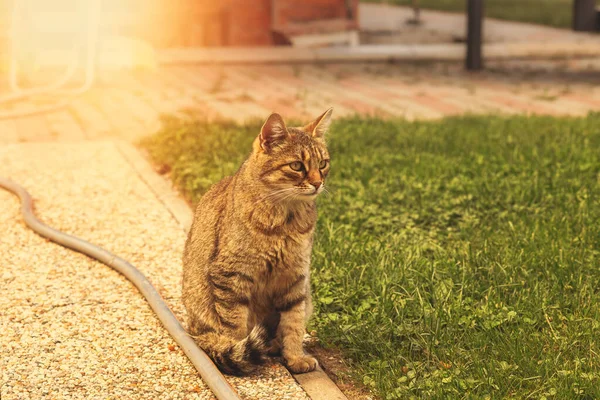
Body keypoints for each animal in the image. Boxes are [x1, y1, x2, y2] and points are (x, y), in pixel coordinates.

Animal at [183, 108, 332, 374]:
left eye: (323, 164)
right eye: (297, 166)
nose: (317, 183)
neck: (286, 217)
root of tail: (195, 332)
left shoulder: (296, 278)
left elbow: (293, 323)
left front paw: (295, 357)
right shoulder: (231, 275)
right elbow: (234, 326)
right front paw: (237, 352)